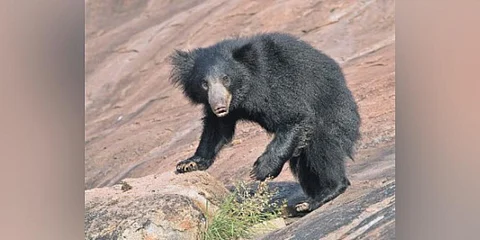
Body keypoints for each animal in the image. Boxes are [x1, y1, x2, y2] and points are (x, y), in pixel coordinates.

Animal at [169, 32, 360, 216]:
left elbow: (294, 116)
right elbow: (217, 128)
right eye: (204, 84)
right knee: (303, 164)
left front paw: (260, 170)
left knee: (323, 149)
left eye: (226, 79)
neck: (244, 92)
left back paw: (323, 194)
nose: (219, 107)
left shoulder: (275, 84)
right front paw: (188, 164)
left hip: (333, 114)